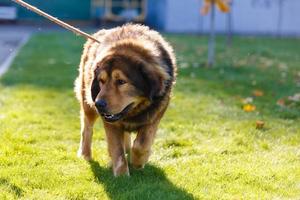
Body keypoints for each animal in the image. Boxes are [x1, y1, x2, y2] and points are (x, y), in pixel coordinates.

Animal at [74, 23, 176, 177]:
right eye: (101, 81)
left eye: (121, 81)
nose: (99, 104)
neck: (135, 111)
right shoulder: (110, 123)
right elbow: (117, 149)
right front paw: (122, 175)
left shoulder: (155, 114)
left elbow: (142, 144)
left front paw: (138, 162)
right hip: (87, 103)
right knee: (87, 129)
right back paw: (85, 154)